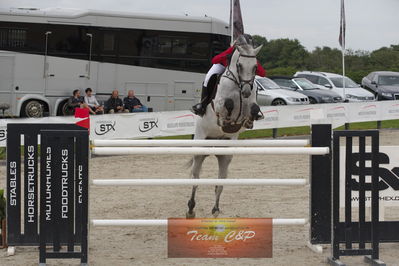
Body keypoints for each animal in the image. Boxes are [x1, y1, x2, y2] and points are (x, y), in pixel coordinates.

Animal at [188, 36, 266, 218]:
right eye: (239, 66)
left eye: (255, 67)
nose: (246, 91)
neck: (238, 85)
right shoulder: (218, 104)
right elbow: (227, 104)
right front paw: (226, 120)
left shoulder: (251, 103)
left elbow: (252, 109)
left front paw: (248, 120)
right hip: (199, 148)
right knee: (195, 178)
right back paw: (190, 209)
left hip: (225, 155)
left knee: (220, 183)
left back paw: (216, 209)